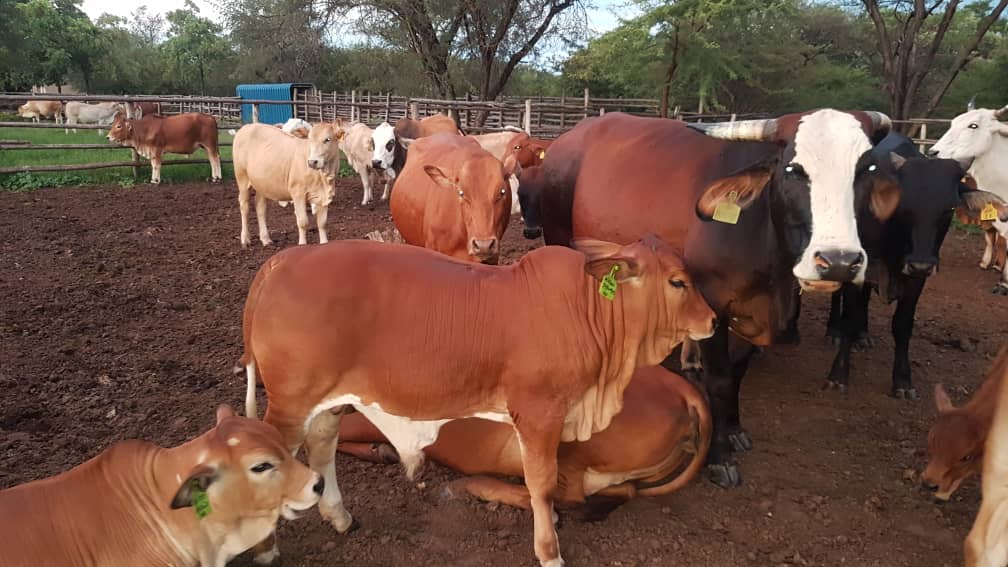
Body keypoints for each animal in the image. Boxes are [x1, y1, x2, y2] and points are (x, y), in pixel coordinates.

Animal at [536, 110, 898, 487]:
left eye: (867, 169)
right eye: (793, 170)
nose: (838, 261)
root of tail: (569, 136)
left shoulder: (752, 314)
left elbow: (738, 371)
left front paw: (735, 428)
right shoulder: (712, 306)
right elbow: (720, 380)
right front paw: (720, 456)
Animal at [822, 132, 1006, 398]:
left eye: (950, 207)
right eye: (903, 204)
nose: (921, 264)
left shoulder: (916, 279)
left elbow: (902, 325)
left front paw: (902, 380)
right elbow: (848, 316)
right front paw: (838, 374)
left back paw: (863, 335)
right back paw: (832, 332)